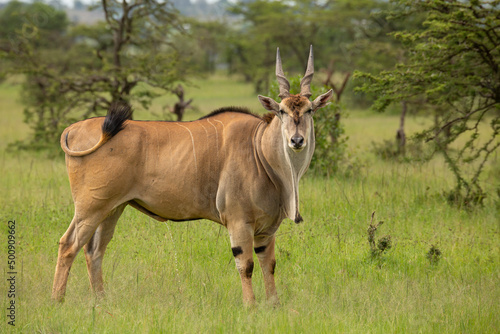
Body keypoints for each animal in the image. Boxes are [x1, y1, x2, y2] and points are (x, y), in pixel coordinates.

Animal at [51, 45, 332, 306]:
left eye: (309, 110)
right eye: (282, 111)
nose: (297, 140)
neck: (259, 148)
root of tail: (72, 128)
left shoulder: (267, 230)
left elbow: (269, 264)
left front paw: (274, 305)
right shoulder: (239, 222)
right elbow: (246, 265)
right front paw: (250, 307)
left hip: (112, 208)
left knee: (94, 250)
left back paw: (100, 300)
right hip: (90, 207)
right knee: (68, 245)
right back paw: (57, 300)